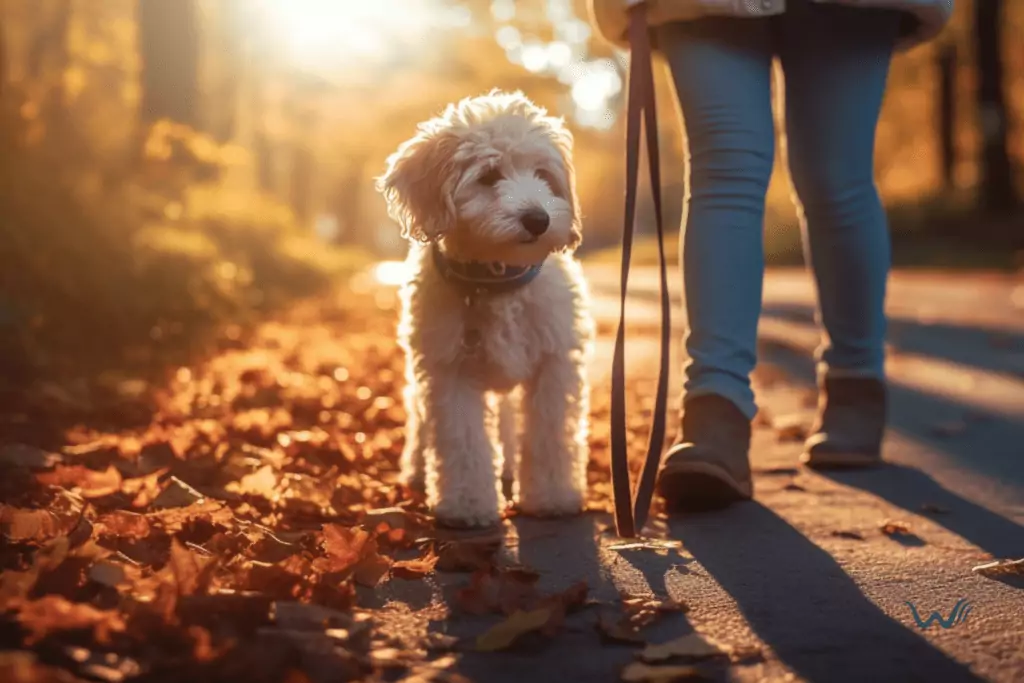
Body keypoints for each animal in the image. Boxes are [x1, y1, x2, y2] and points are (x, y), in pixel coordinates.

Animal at [378, 90, 598, 528]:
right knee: (420, 425)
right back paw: (416, 471)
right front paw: (466, 505)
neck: (497, 280)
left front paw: (552, 496)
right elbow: (463, 440)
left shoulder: (553, 364)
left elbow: (549, 435)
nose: (538, 219)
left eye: (543, 175)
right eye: (489, 176)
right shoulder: (449, 370)